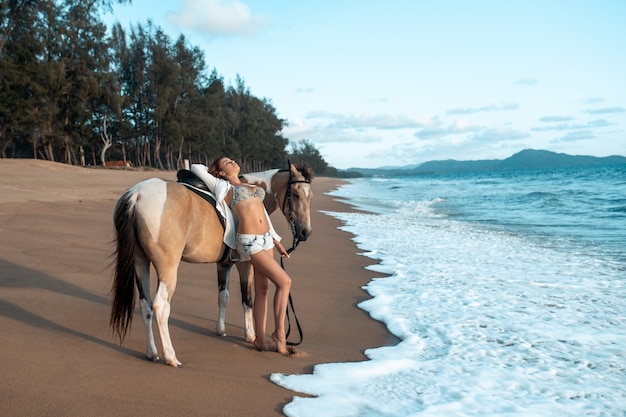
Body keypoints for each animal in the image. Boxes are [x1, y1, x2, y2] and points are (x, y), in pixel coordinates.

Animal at [109, 162, 312, 364]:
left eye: (310, 197)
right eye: (296, 195)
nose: (305, 232)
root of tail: (137, 194)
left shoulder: (223, 264)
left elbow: (223, 297)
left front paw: (220, 330)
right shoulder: (245, 264)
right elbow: (247, 299)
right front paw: (250, 335)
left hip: (140, 262)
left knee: (146, 306)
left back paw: (152, 353)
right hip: (167, 269)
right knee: (160, 307)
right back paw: (170, 356)